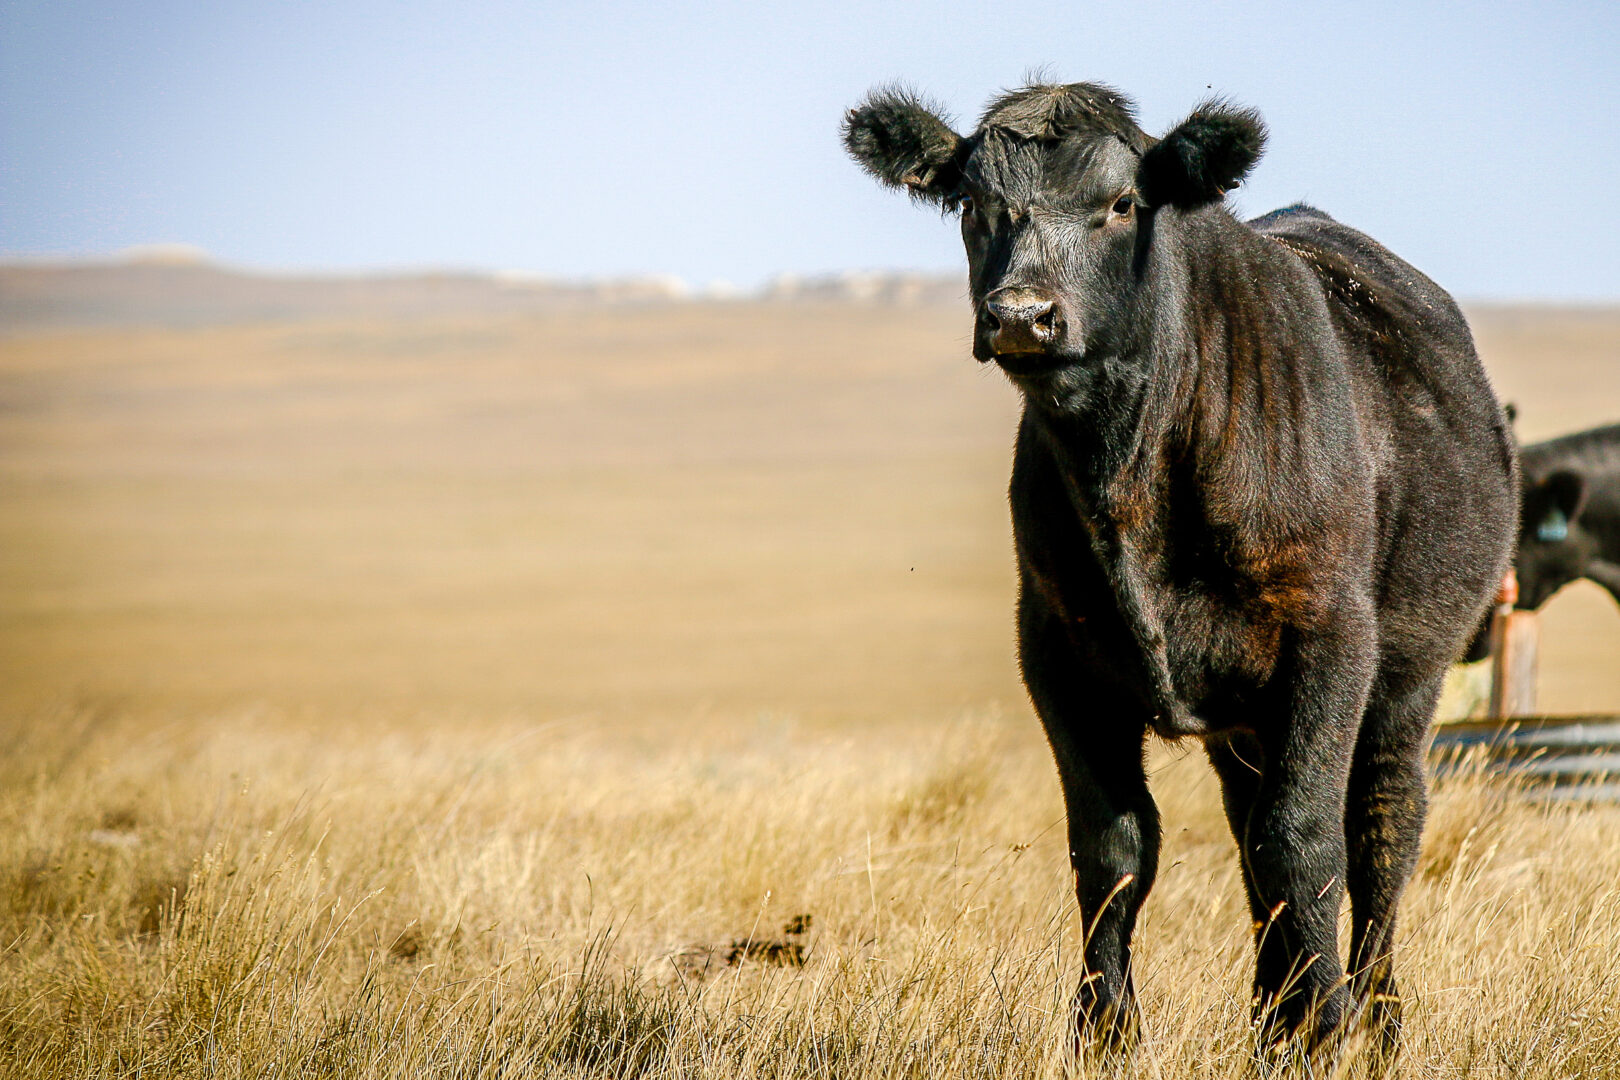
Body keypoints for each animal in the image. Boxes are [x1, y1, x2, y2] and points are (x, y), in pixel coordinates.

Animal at [843, 81, 1518, 1058]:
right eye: (973, 203)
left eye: (1122, 203)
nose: (1022, 316)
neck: (1130, 469)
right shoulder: (1057, 651)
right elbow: (1116, 844)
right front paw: (1106, 1032)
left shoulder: (1330, 638)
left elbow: (1306, 839)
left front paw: (1325, 1029)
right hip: (1244, 725)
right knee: (1251, 837)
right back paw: (1271, 1016)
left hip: (1408, 682)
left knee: (1380, 830)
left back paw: (1376, 1018)